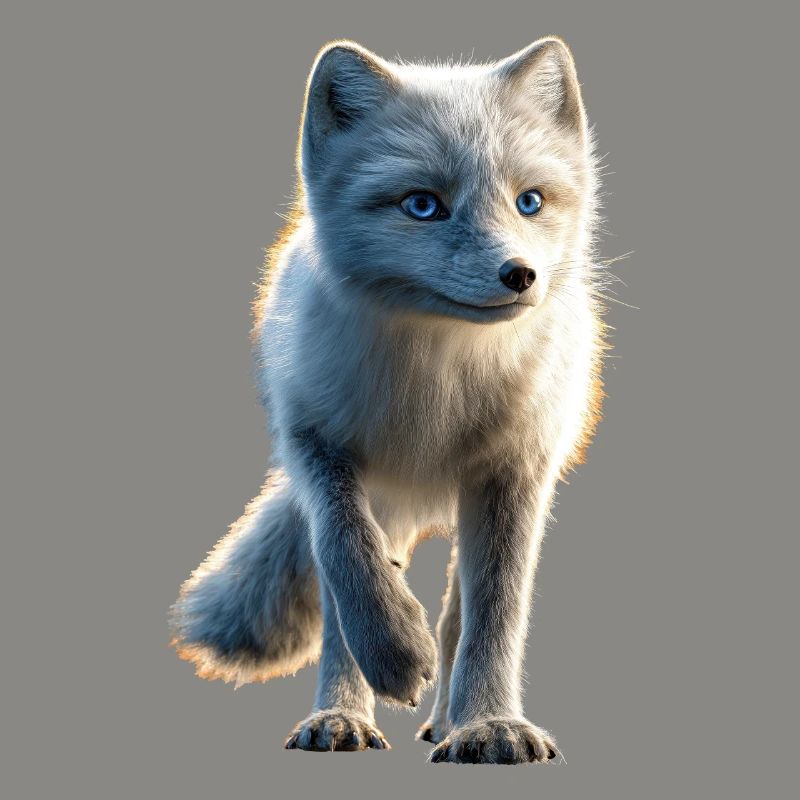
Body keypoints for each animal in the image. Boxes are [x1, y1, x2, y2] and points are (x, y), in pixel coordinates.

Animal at [170, 36, 607, 764]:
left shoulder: (516, 469)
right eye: (423, 206)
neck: (436, 384)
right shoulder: (317, 444)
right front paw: (391, 659)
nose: (520, 275)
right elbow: (349, 562)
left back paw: (450, 719)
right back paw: (349, 714)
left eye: (529, 202)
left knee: (460, 609)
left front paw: (491, 726)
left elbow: (495, 612)